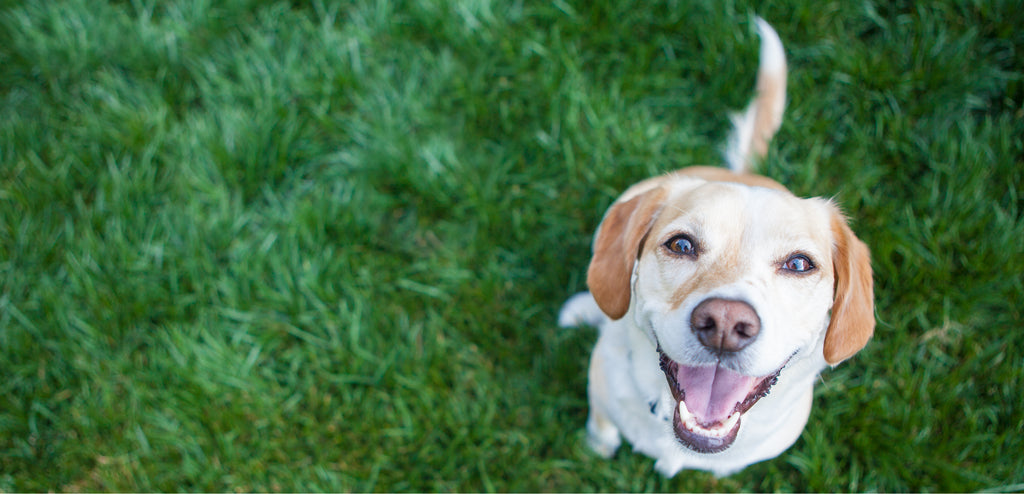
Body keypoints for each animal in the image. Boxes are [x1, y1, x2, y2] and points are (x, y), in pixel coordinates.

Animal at [561, 17, 872, 477]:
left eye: (799, 264)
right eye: (681, 244)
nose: (725, 323)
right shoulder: (601, 397)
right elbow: (601, 429)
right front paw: (596, 448)